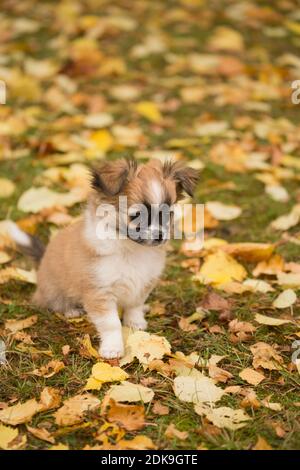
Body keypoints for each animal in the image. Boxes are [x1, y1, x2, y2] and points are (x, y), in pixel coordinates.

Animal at [9, 160, 198, 358]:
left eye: (168, 213)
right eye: (137, 215)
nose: (160, 236)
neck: (130, 248)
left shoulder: (143, 282)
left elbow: (135, 305)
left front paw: (135, 322)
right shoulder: (99, 292)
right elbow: (111, 324)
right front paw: (113, 348)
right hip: (54, 290)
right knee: (54, 303)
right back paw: (71, 311)